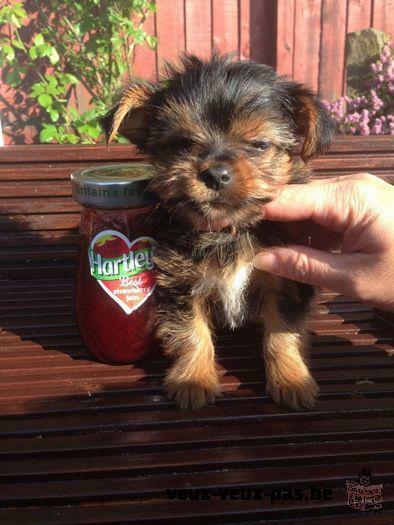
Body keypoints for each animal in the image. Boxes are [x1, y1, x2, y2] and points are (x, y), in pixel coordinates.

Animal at [102, 55, 336, 412]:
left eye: (258, 145)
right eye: (183, 144)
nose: (215, 173)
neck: (229, 230)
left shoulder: (286, 280)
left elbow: (283, 333)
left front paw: (291, 380)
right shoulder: (180, 282)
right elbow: (190, 332)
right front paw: (193, 380)